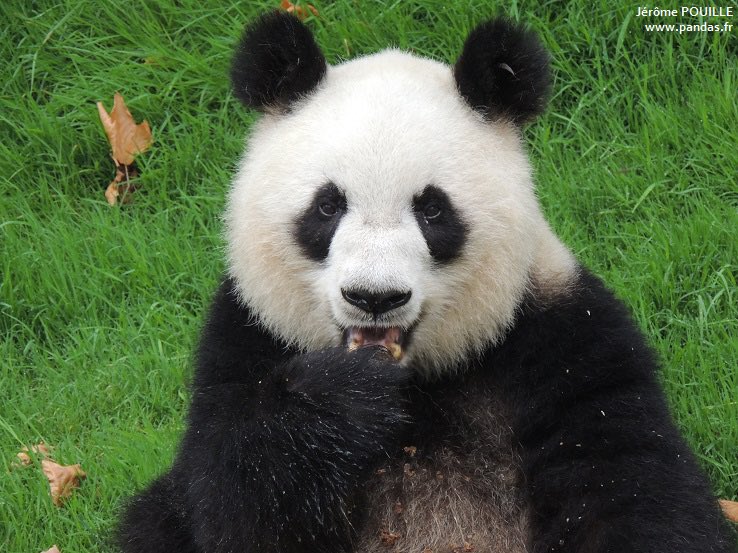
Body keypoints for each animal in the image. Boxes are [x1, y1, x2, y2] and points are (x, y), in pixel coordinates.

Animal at [117, 11, 736, 553]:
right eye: (327, 206)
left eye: (433, 211)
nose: (375, 297)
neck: (418, 384)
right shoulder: (244, 338)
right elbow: (233, 499)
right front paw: (345, 397)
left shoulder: (566, 344)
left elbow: (639, 494)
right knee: (154, 518)